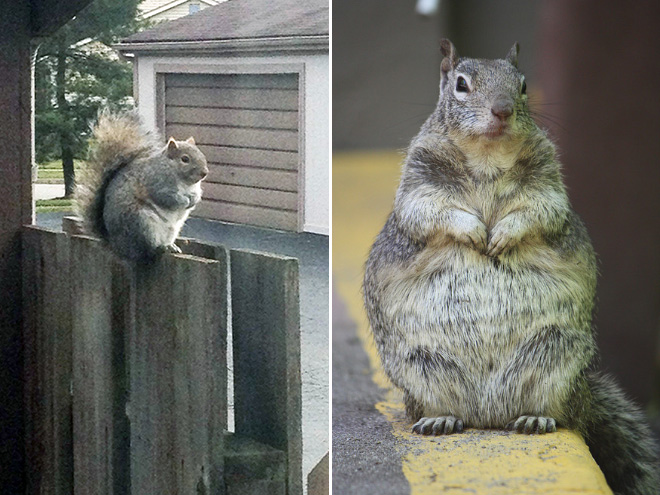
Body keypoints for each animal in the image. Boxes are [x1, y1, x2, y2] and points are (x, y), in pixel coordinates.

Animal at [72, 110, 208, 262]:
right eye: (185, 159)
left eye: (201, 154)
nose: (204, 173)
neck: (185, 182)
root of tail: (117, 247)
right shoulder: (156, 182)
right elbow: (166, 197)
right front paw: (184, 201)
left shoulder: (194, 188)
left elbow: (196, 195)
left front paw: (193, 200)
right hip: (142, 223)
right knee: (147, 249)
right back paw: (161, 247)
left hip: (171, 230)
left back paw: (171, 246)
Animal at [364, 39, 656, 495]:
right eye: (461, 84)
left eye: (522, 85)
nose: (501, 110)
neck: (488, 155)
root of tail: (488, 416)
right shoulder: (419, 182)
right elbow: (431, 211)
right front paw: (473, 232)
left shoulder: (547, 185)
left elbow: (538, 211)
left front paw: (501, 235)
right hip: (420, 364)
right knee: (443, 407)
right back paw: (441, 419)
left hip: (556, 354)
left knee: (557, 411)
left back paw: (535, 418)